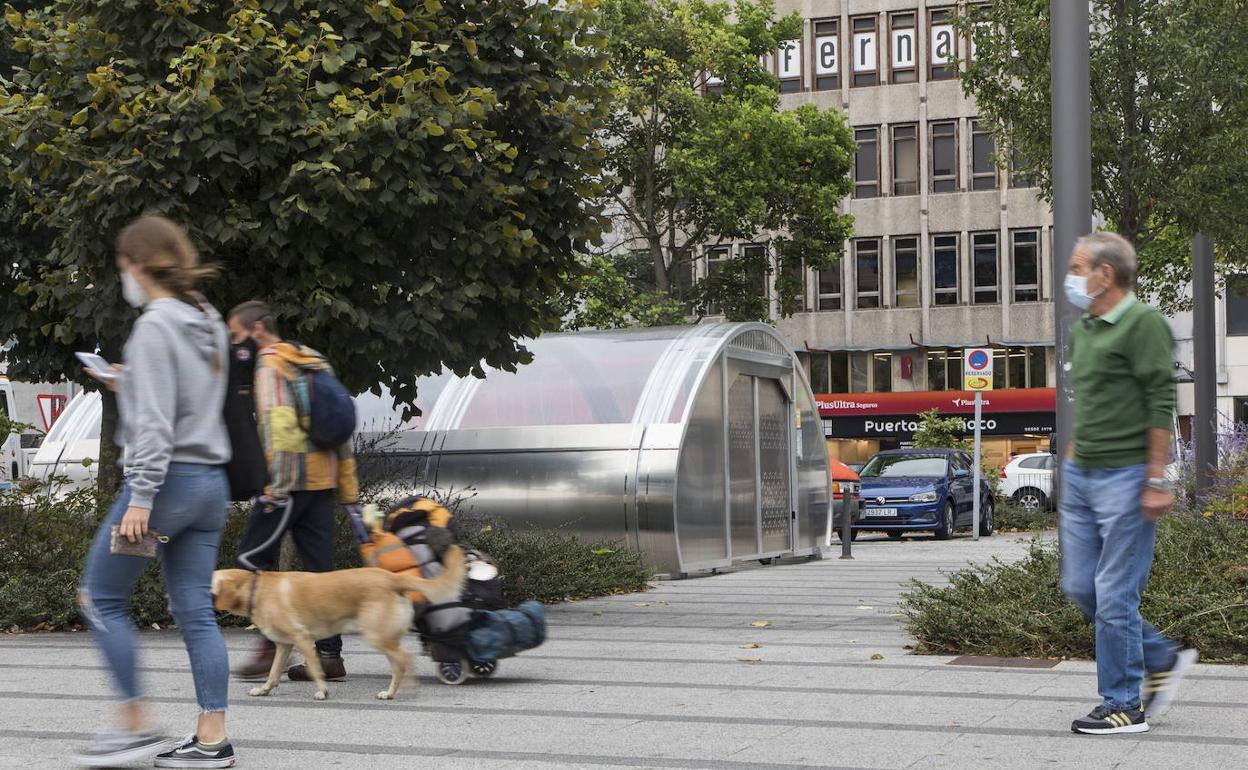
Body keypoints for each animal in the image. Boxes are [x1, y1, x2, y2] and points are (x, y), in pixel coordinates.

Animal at [214, 544, 469, 698]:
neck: (255, 589)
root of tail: (392, 578)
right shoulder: (284, 645)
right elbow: (274, 673)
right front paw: (264, 689)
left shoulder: (303, 639)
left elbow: (316, 670)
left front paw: (323, 691)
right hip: (385, 638)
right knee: (400, 663)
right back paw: (392, 692)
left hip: (377, 636)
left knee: (405, 659)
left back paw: (404, 690)